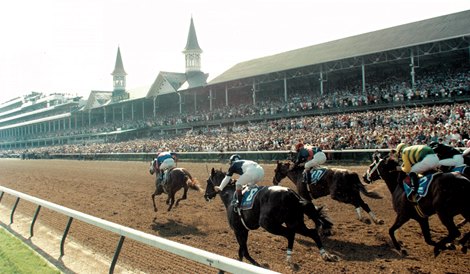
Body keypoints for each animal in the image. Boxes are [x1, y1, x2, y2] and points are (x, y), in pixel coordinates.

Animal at [205, 168, 338, 266]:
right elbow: (241, 251)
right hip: (295, 222)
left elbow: (244, 251)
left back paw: (289, 258)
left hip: (269, 224)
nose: (206, 196)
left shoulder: (238, 230)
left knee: (290, 234)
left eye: (207, 181)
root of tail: (292, 193)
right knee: (312, 233)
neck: (231, 195)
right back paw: (325, 255)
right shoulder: (243, 230)